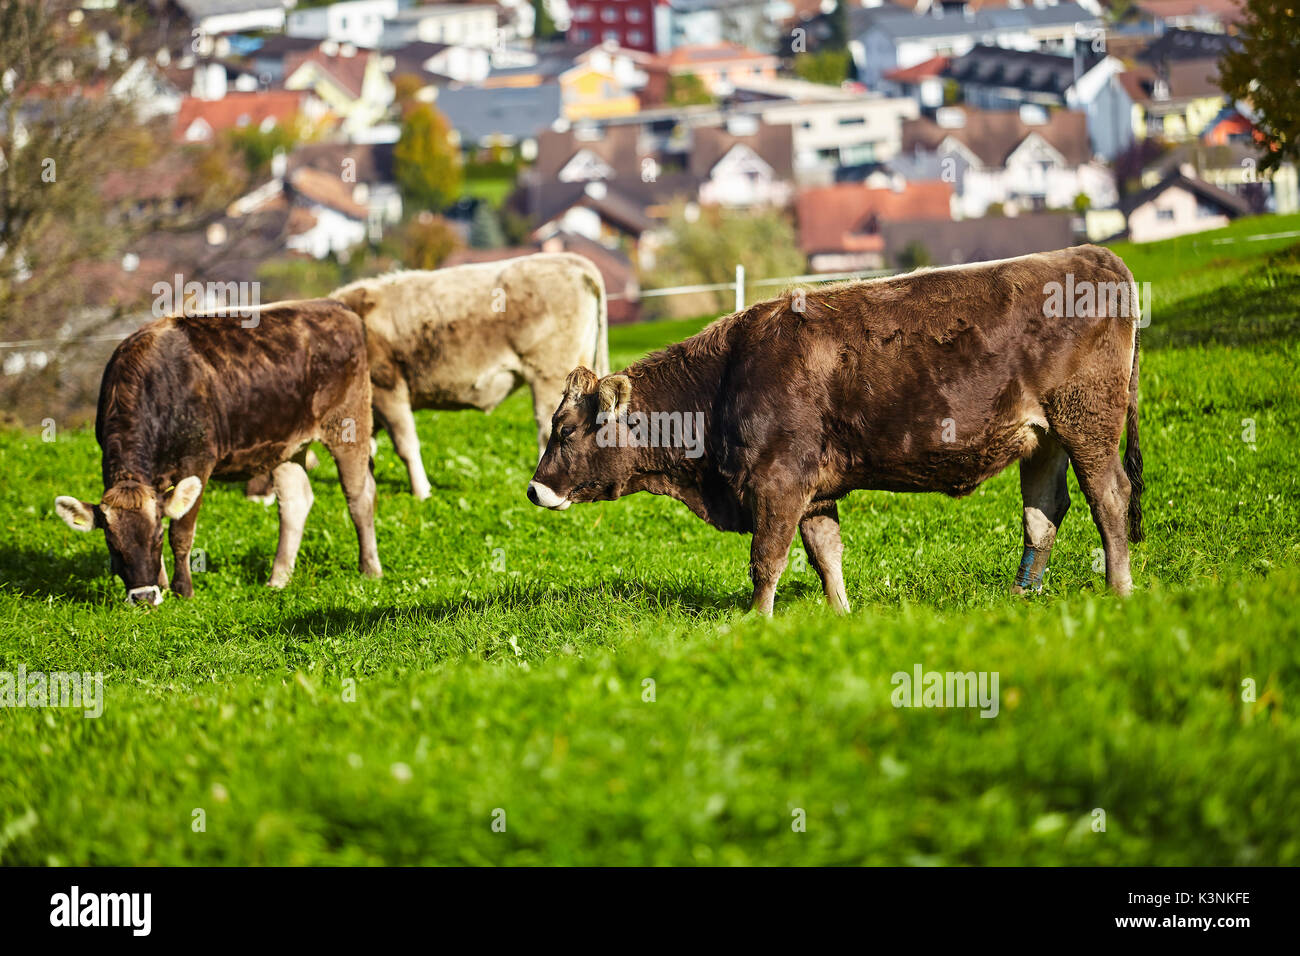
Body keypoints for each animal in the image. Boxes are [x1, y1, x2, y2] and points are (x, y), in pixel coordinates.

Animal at [55, 299, 382, 605]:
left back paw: (369, 569)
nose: (144, 597)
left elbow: (181, 532)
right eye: (112, 543)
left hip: (349, 423)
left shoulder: (197, 461)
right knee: (295, 502)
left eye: (155, 537)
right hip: (288, 444)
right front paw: (163, 587)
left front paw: (183, 591)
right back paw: (278, 579)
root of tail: (335, 306)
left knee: (359, 497)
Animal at [527, 246, 1144, 613]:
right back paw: (1021, 596)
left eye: (566, 430)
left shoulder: (778, 483)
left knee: (1110, 497)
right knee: (1043, 512)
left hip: (1088, 420)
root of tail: (1094, 254)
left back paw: (1120, 589)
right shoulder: (813, 490)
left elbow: (766, 560)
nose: (534, 489)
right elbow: (826, 556)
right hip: (1044, 437)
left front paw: (756, 623)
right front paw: (842, 617)